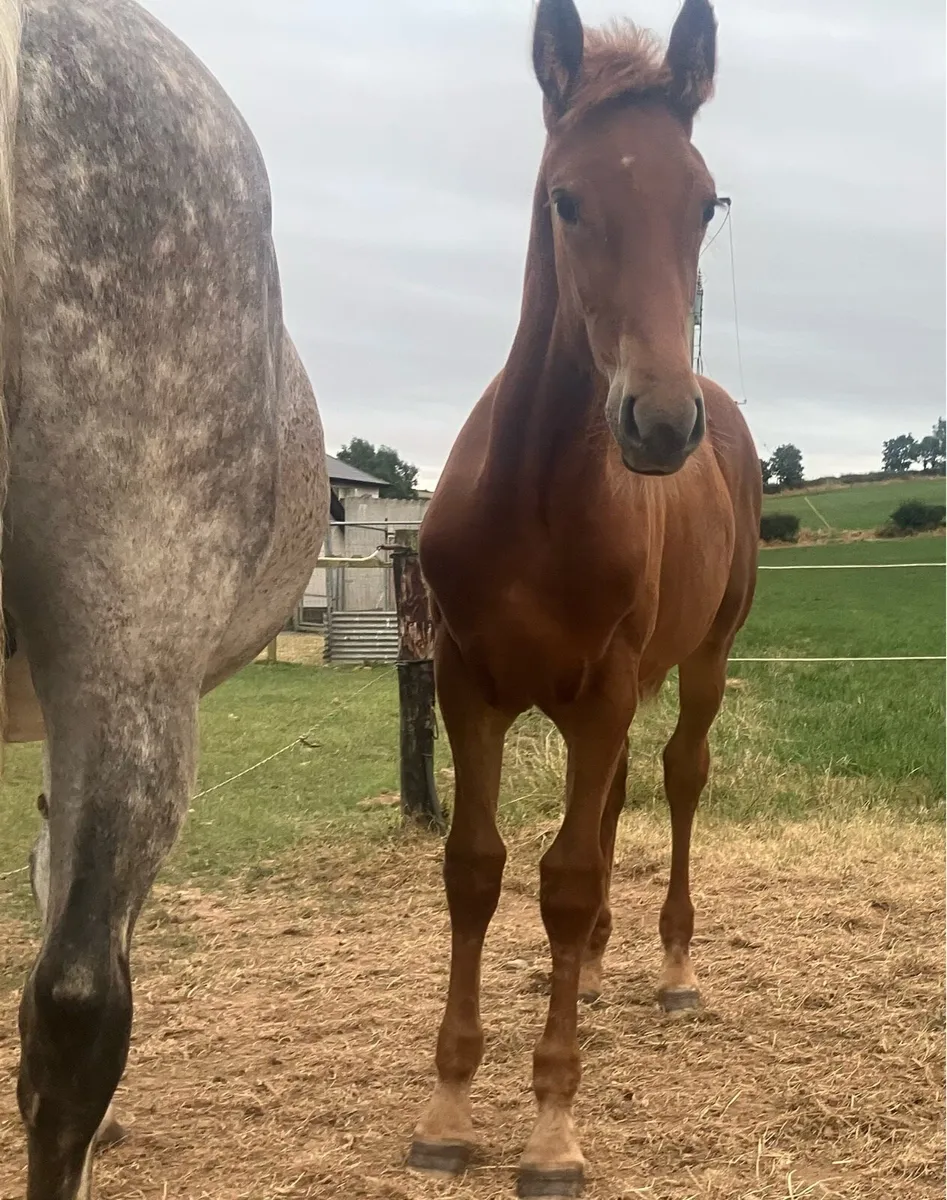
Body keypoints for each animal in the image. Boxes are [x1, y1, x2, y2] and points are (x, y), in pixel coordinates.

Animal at [409, 0, 761, 1194]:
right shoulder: (466, 684)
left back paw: (668, 966)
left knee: (678, 779)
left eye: (702, 201)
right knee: (607, 811)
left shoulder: (603, 689)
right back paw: (602, 969)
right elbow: (475, 870)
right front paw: (447, 1107)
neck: (533, 503)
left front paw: (553, 1128)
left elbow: (560, 880)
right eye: (566, 199)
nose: (656, 423)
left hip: (697, 662)